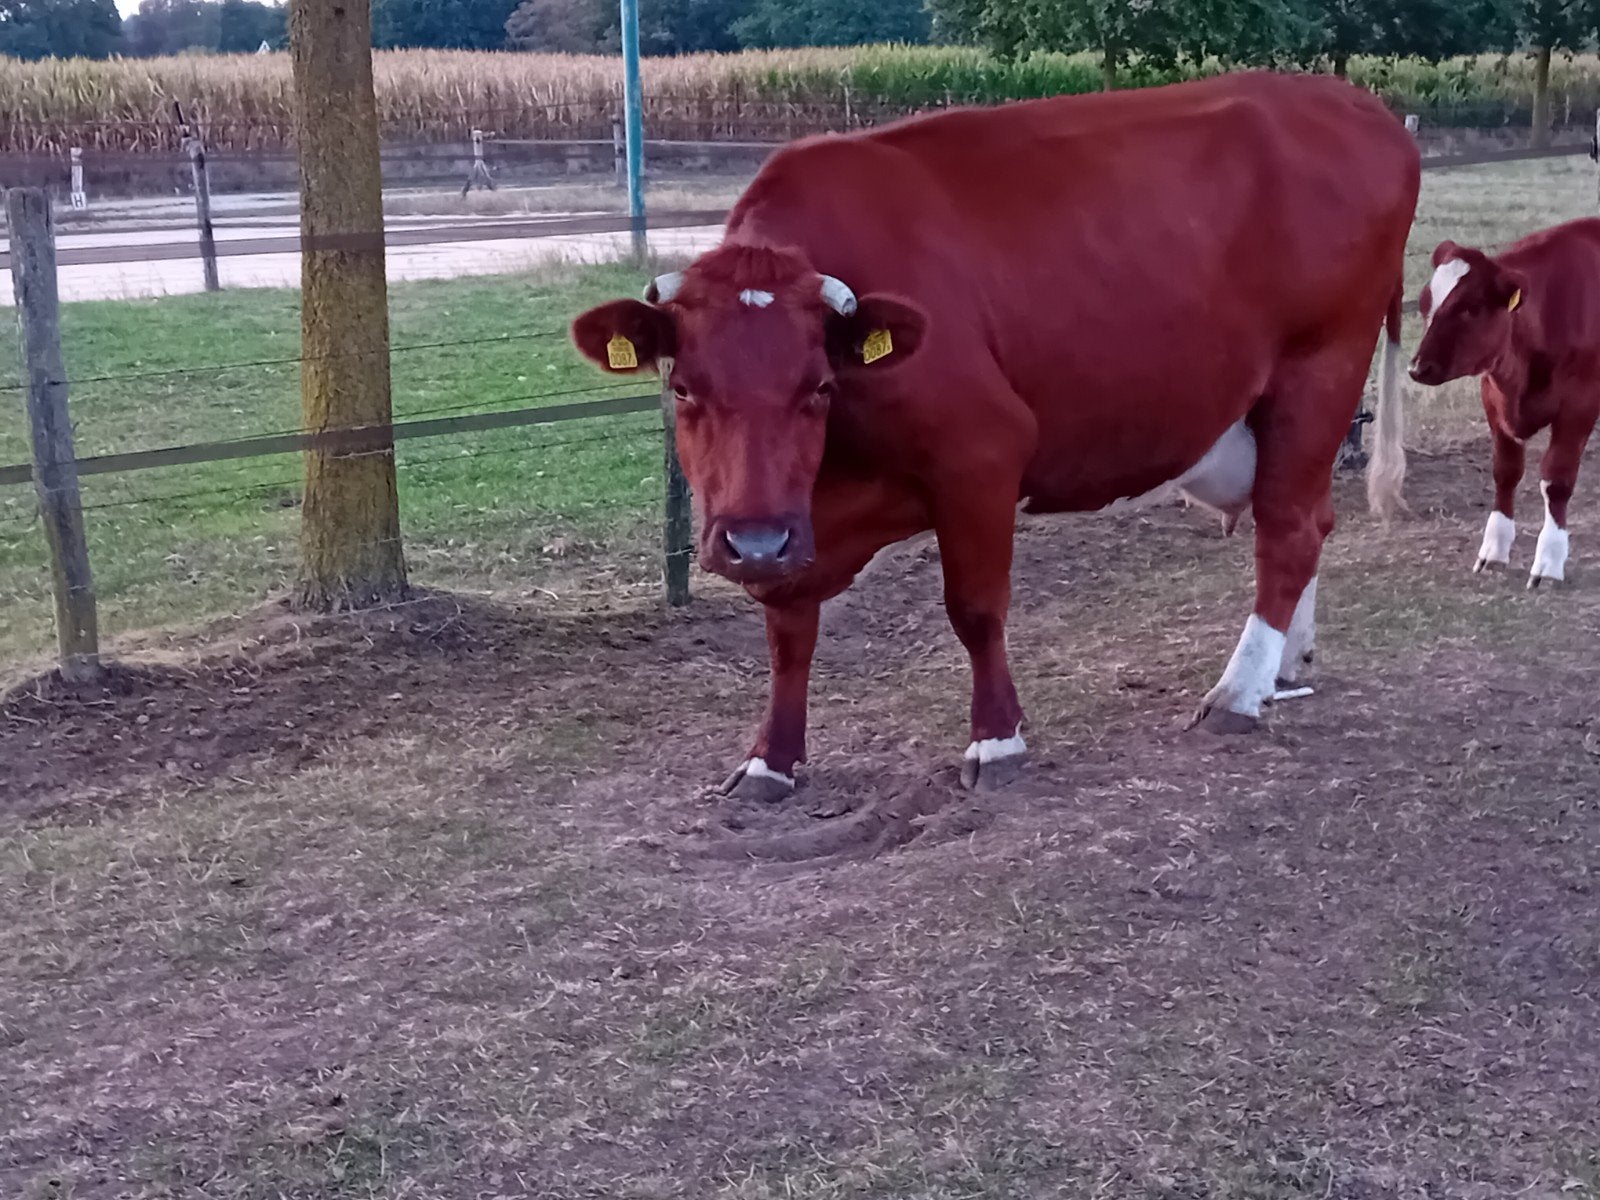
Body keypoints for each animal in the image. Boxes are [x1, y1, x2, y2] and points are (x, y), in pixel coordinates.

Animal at [572, 72, 1420, 803]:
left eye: (818, 388)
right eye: (683, 388)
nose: (751, 542)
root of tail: (1351, 102)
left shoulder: (979, 454)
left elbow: (975, 607)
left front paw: (997, 740)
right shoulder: (790, 519)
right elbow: (788, 630)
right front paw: (769, 760)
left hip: (1321, 367)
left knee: (1288, 528)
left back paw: (1239, 690)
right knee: (1308, 517)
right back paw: (1283, 666)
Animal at [1409, 221, 1600, 587]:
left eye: (1469, 308)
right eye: (1426, 303)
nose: (1417, 367)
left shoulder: (1579, 404)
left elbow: (1556, 481)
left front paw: (1549, 562)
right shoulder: (1493, 397)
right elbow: (1505, 472)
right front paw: (1494, 550)